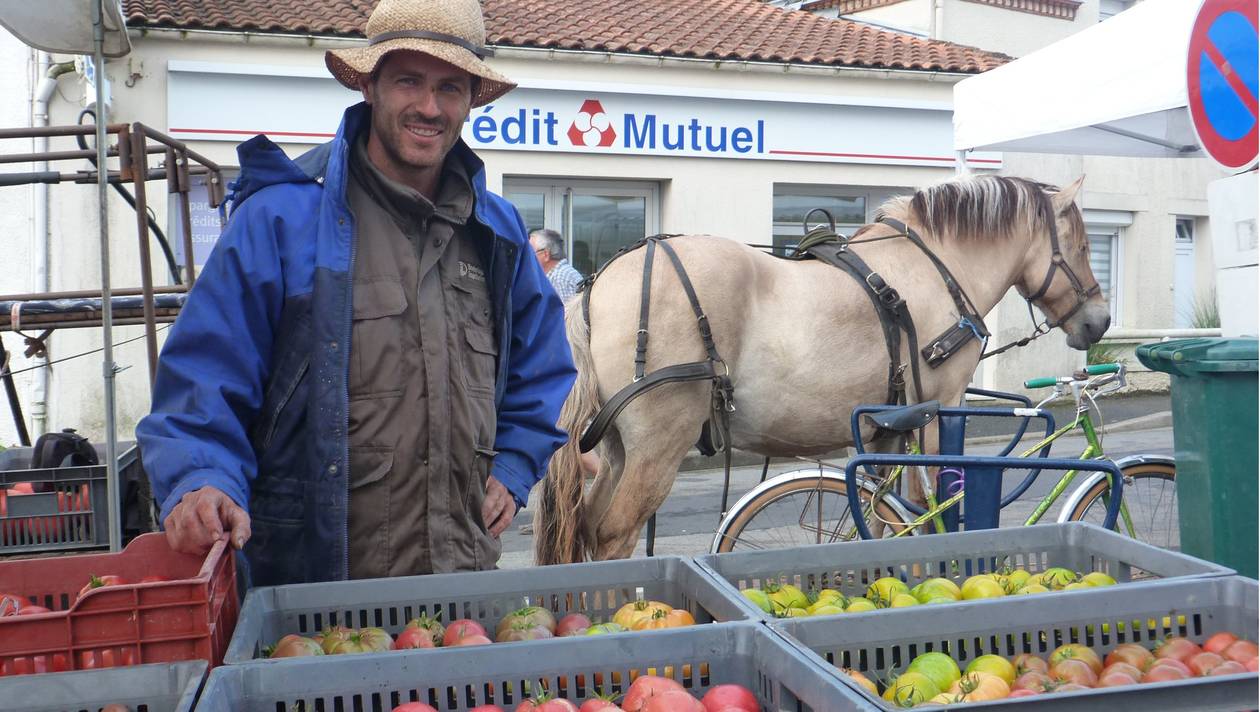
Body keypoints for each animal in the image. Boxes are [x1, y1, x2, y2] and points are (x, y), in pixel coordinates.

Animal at [536, 172, 1108, 562]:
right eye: (1081, 245)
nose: (1099, 322)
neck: (934, 266)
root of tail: (597, 288)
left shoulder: (888, 426)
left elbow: (885, 514)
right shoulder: (941, 408)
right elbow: (927, 506)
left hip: (617, 449)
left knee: (585, 528)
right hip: (657, 448)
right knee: (613, 536)